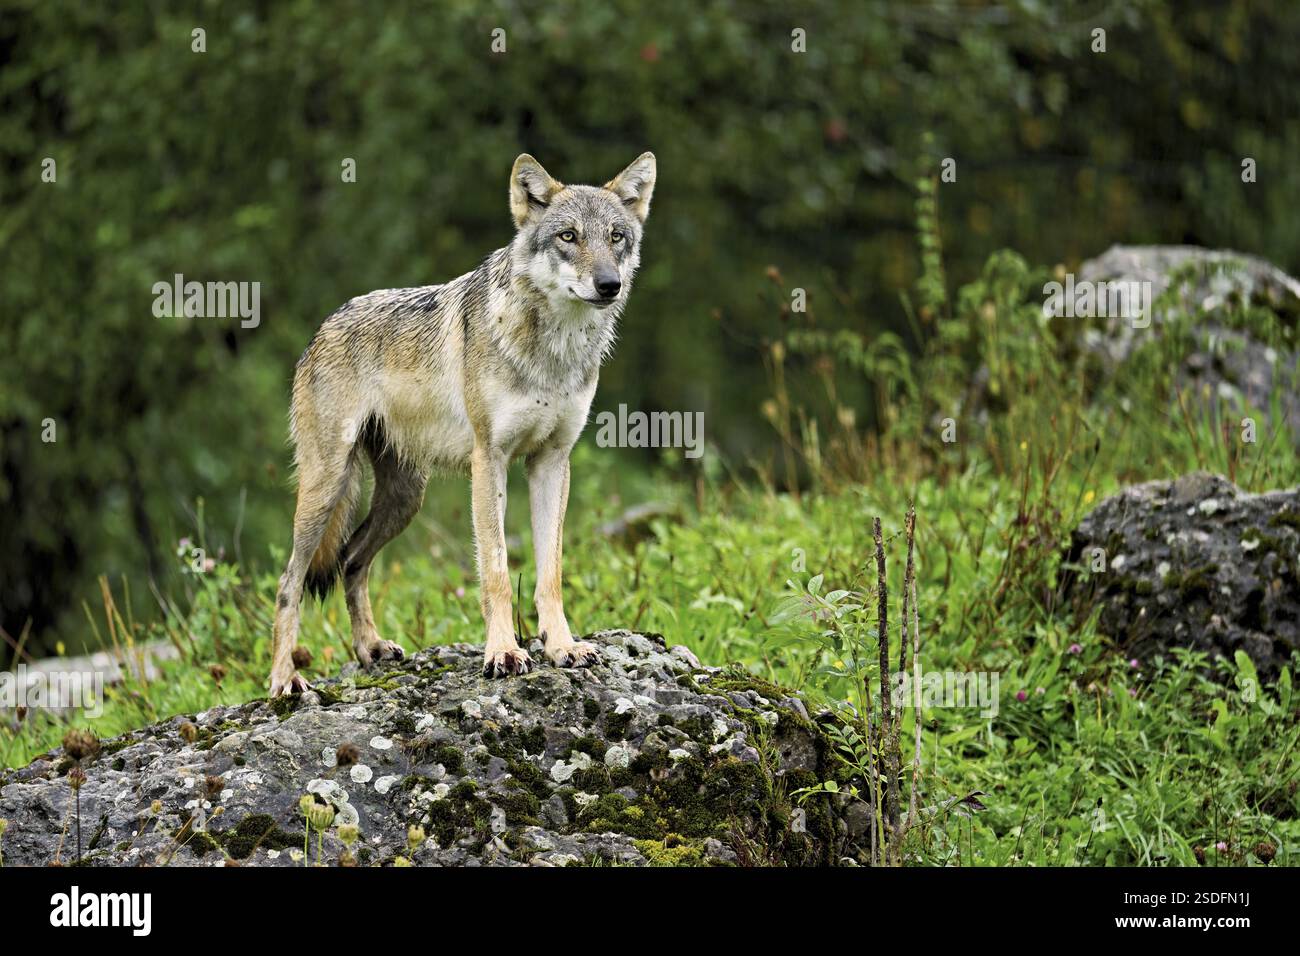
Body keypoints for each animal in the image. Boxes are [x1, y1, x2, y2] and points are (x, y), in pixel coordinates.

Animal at [267, 152, 656, 696]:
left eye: (616, 237)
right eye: (569, 236)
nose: (609, 285)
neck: (552, 351)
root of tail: (321, 327)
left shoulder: (552, 461)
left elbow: (550, 572)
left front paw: (562, 647)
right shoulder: (488, 460)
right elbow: (495, 570)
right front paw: (503, 653)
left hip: (405, 499)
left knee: (350, 559)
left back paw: (370, 649)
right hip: (327, 488)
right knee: (290, 582)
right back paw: (284, 680)